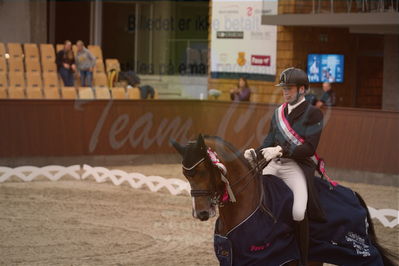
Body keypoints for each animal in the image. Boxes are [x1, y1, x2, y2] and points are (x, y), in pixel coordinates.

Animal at [173, 135, 396, 266]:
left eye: (202, 171)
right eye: (185, 175)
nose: (201, 213)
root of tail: (354, 195)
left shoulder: (264, 257)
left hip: (355, 249)